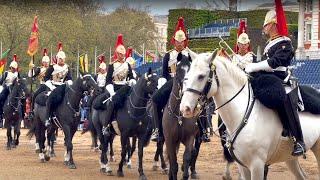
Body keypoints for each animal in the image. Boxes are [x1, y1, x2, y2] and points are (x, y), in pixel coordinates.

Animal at [179, 51, 320, 179]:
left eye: (201, 76)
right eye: (187, 76)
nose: (185, 108)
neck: (242, 115)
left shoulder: (257, 165)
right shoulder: (243, 166)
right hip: (290, 158)